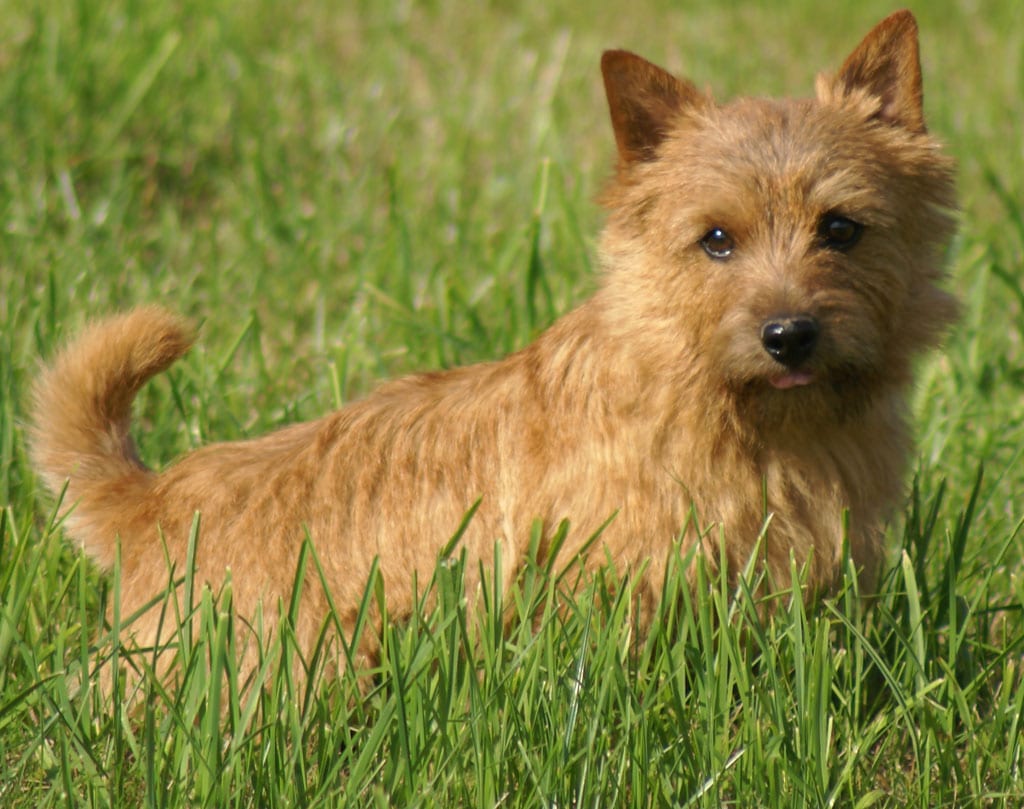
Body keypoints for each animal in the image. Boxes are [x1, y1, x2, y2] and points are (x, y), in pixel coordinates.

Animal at [32, 9, 958, 688]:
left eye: (841, 228)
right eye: (717, 240)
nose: (788, 333)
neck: (743, 421)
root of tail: (155, 499)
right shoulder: (621, 586)